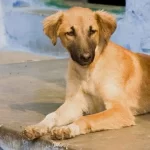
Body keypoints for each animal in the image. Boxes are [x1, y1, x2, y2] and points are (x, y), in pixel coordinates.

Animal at [22, 6, 150, 141]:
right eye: (70, 33)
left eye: (92, 31)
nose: (86, 57)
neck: (90, 72)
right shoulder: (74, 104)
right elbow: (52, 115)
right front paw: (38, 127)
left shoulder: (120, 109)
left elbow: (86, 118)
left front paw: (69, 128)